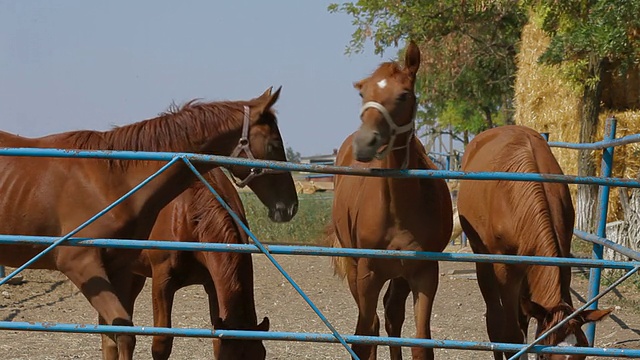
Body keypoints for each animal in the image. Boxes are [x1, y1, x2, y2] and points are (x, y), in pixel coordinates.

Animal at [332, 40, 452, 358]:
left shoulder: (425, 274)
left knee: (392, 315)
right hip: (356, 269)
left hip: (399, 277)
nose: (365, 143)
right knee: (374, 325)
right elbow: (364, 336)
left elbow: (421, 344)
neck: (399, 213)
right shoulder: (367, 274)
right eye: (363, 93)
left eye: (404, 94)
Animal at [458, 125, 612, 358]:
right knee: (494, 319)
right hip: (483, 259)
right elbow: (512, 334)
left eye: (582, 354)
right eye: (542, 355)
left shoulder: (560, 258)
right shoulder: (506, 271)